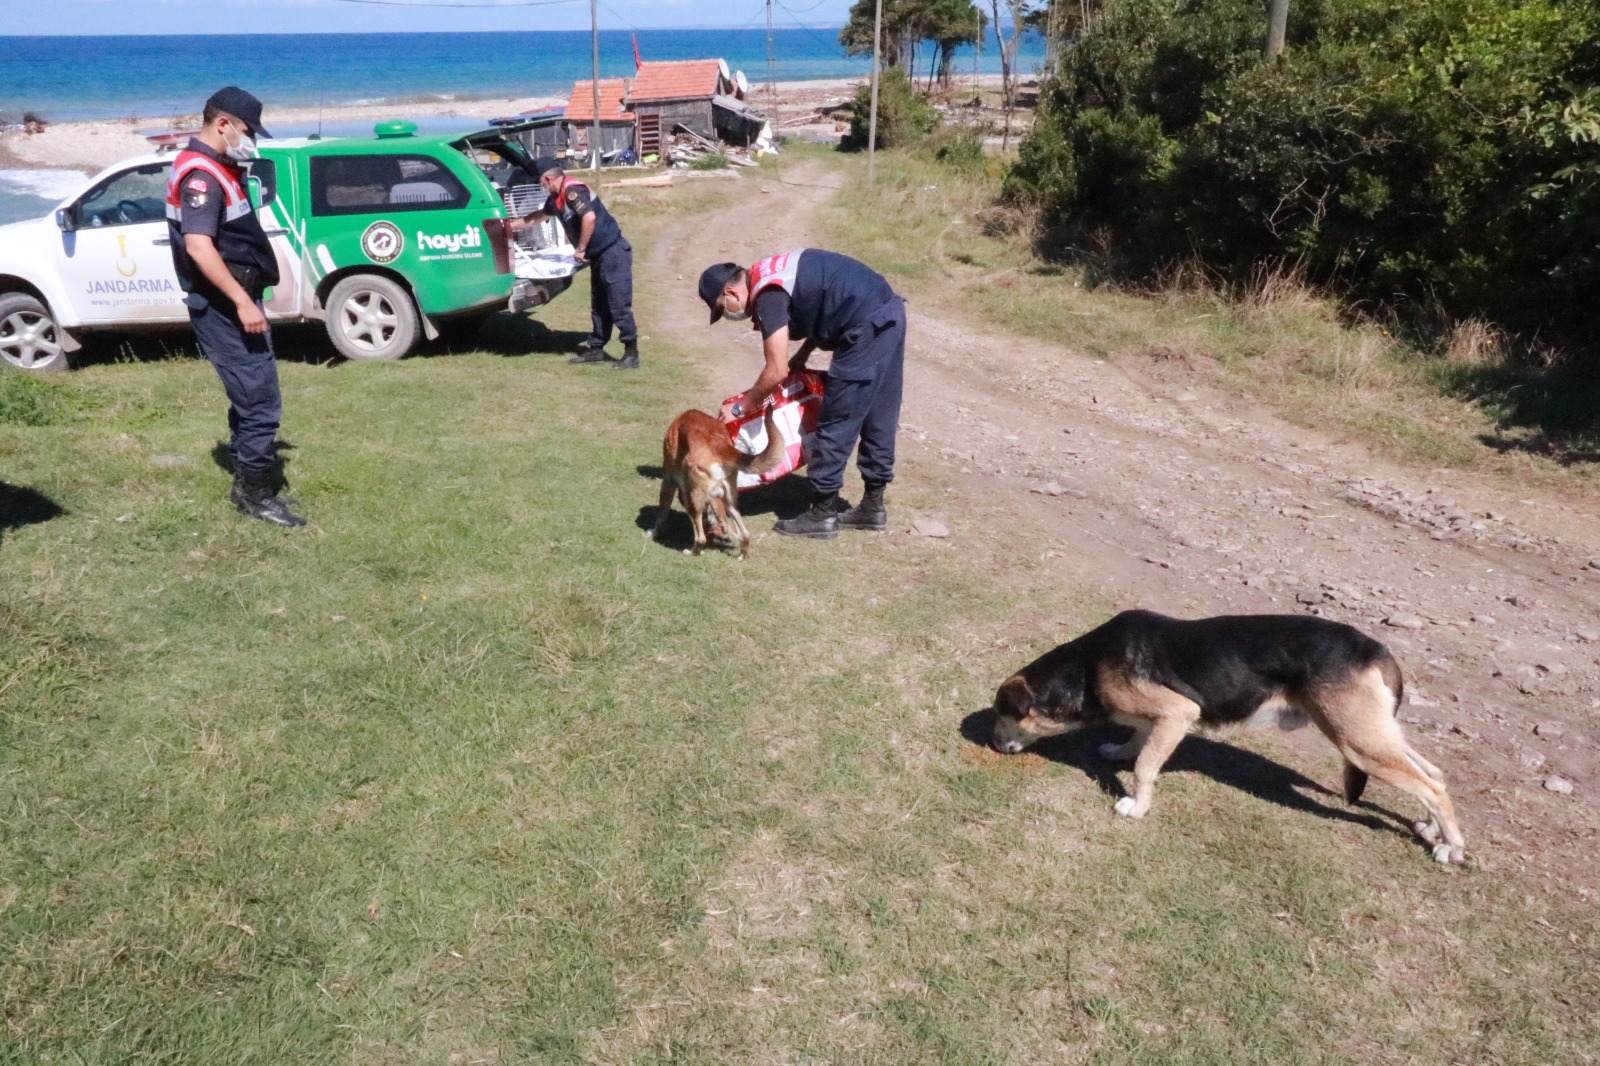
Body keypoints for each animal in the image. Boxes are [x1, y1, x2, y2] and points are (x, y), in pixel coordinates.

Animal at [649, 404, 787, 557]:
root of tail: (718, 443)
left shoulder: (668, 483)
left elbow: (662, 514)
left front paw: (653, 533)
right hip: (729, 500)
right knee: (745, 534)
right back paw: (741, 555)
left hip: (695, 498)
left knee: (700, 538)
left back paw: (691, 551)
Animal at [992, 611, 1465, 857]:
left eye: (1000, 715)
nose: (993, 744)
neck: (1087, 666)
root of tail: (1379, 650)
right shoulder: (1160, 720)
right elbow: (1139, 742)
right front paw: (1119, 749)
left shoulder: (1179, 712)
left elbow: (1145, 767)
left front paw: (1137, 806)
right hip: (1375, 737)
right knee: (1434, 776)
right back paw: (1430, 829)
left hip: (1359, 743)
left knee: (1431, 787)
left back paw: (1451, 848)